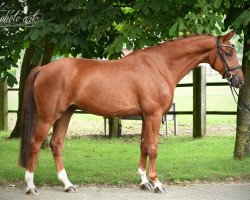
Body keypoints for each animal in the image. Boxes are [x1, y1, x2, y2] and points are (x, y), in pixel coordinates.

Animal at [20, 31, 244, 195]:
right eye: (229, 53)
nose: (239, 80)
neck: (159, 66)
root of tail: (43, 68)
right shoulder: (154, 115)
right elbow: (153, 148)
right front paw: (156, 183)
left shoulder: (146, 116)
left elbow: (143, 146)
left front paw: (144, 181)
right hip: (48, 116)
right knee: (34, 144)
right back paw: (31, 186)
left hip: (65, 114)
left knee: (56, 144)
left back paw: (67, 184)